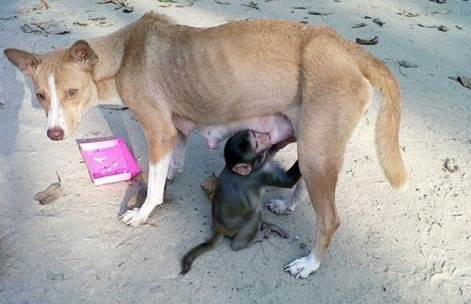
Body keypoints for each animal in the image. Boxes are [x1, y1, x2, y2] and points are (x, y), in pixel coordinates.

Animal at [179, 129, 300, 274]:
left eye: (254, 134)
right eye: (256, 145)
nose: (264, 136)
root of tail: (218, 228)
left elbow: (273, 150)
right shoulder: (260, 173)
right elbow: (288, 180)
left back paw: (268, 226)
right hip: (236, 228)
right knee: (254, 214)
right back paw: (247, 241)